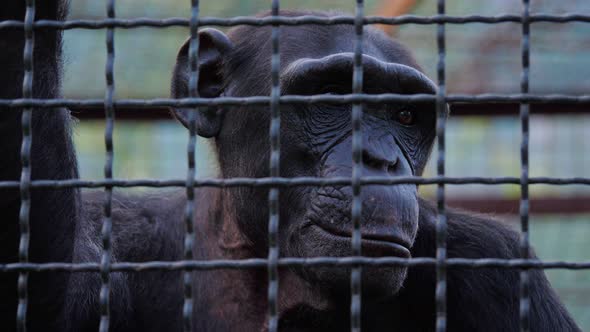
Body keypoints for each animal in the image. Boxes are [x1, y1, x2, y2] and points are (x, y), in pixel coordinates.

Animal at [0, 1, 584, 330]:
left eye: (403, 114)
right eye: (331, 97)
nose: (380, 159)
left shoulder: (498, 265)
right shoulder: (119, 237)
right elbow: (46, 300)